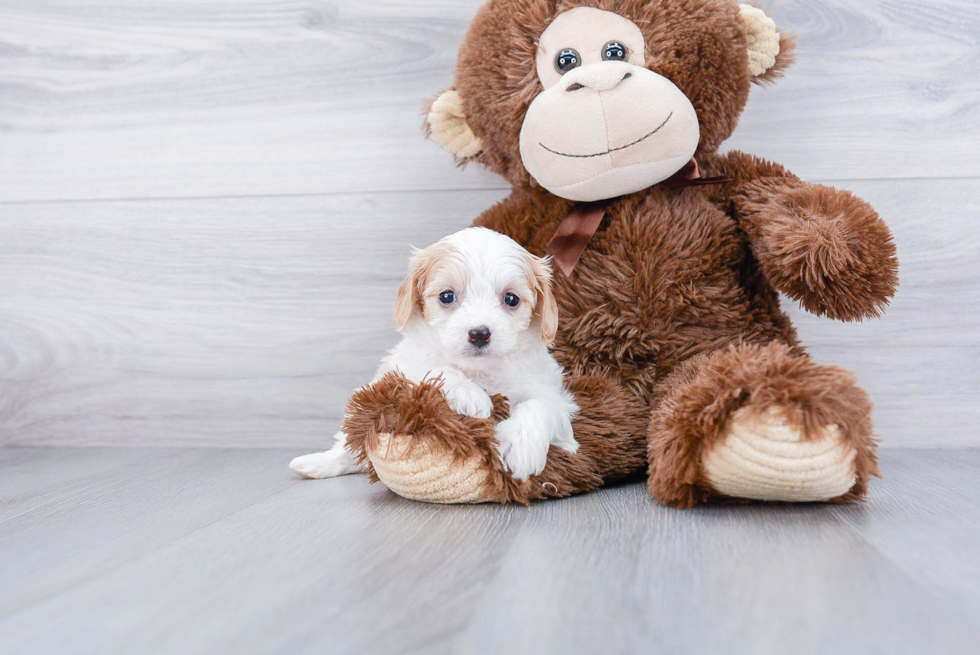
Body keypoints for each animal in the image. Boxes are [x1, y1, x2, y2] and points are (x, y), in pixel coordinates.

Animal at [290, 229, 580, 482]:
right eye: (447, 296)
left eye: (511, 299)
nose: (479, 334)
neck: (477, 371)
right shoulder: (400, 371)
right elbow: (434, 367)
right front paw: (470, 395)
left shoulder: (551, 393)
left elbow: (540, 405)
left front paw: (521, 448)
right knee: (348, 449)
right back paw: (316, 463)